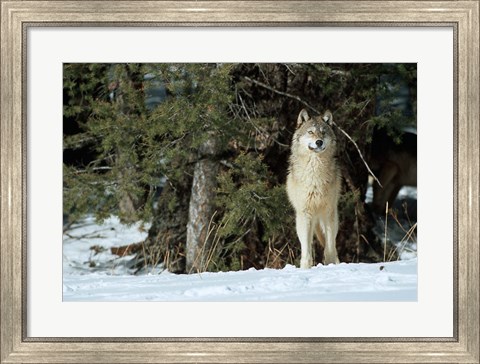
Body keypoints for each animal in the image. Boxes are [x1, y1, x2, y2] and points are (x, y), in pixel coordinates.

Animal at [284, 109, 342, 268]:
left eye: (323, 132)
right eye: (310, 132)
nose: (319, 141)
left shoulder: (329, 212)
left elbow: (330, 246)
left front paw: (330, 264)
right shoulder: (305, 213)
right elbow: (306, 248)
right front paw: (306, 267)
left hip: (329, 218)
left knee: (332, 244)